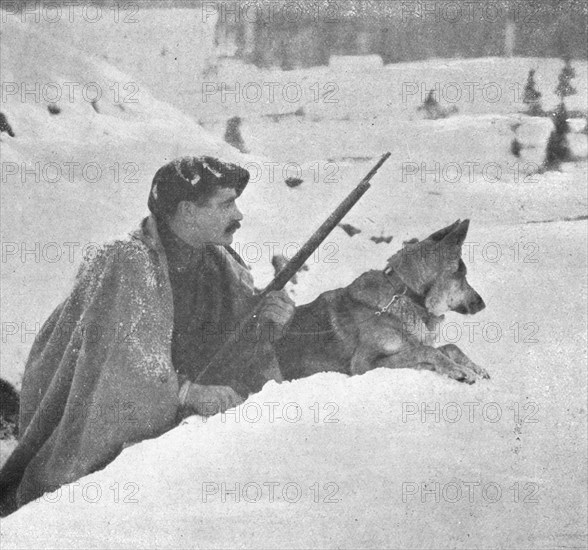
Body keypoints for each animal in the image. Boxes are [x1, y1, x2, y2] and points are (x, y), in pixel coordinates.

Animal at [276, 222, 492, 386]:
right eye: (462, 276)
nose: (483, 304)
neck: (405, 296)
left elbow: (449, 347)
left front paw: (474, 367)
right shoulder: (364, 365)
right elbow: (427, 350)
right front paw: (458, 370)